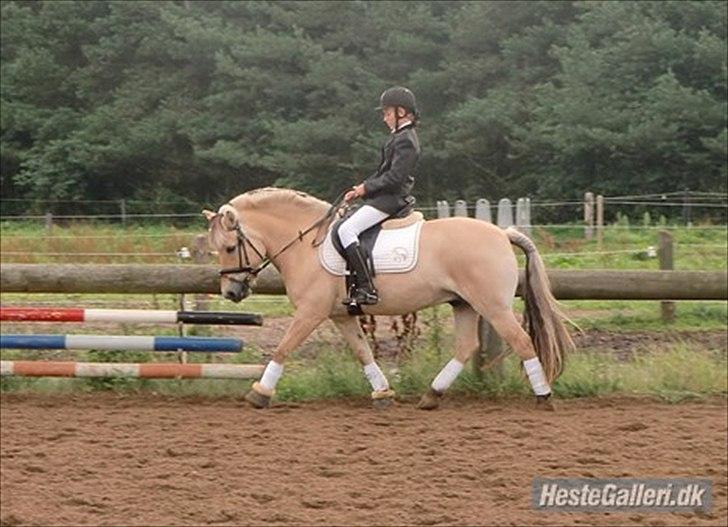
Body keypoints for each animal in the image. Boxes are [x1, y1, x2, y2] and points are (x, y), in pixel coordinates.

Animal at [203, 188, 576, 410]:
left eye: (230, 247)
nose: (231, 292)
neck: (305, 243)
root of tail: (502, 232)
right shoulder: (341, 315)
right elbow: (363, 352)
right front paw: (383, 392)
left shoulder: (310, 312)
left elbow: (283, 348)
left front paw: (259, 393)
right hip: (464, 304)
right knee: (466, 347)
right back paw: (431, 396)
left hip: (493, 306)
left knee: (521, 341)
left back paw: (544, 397)